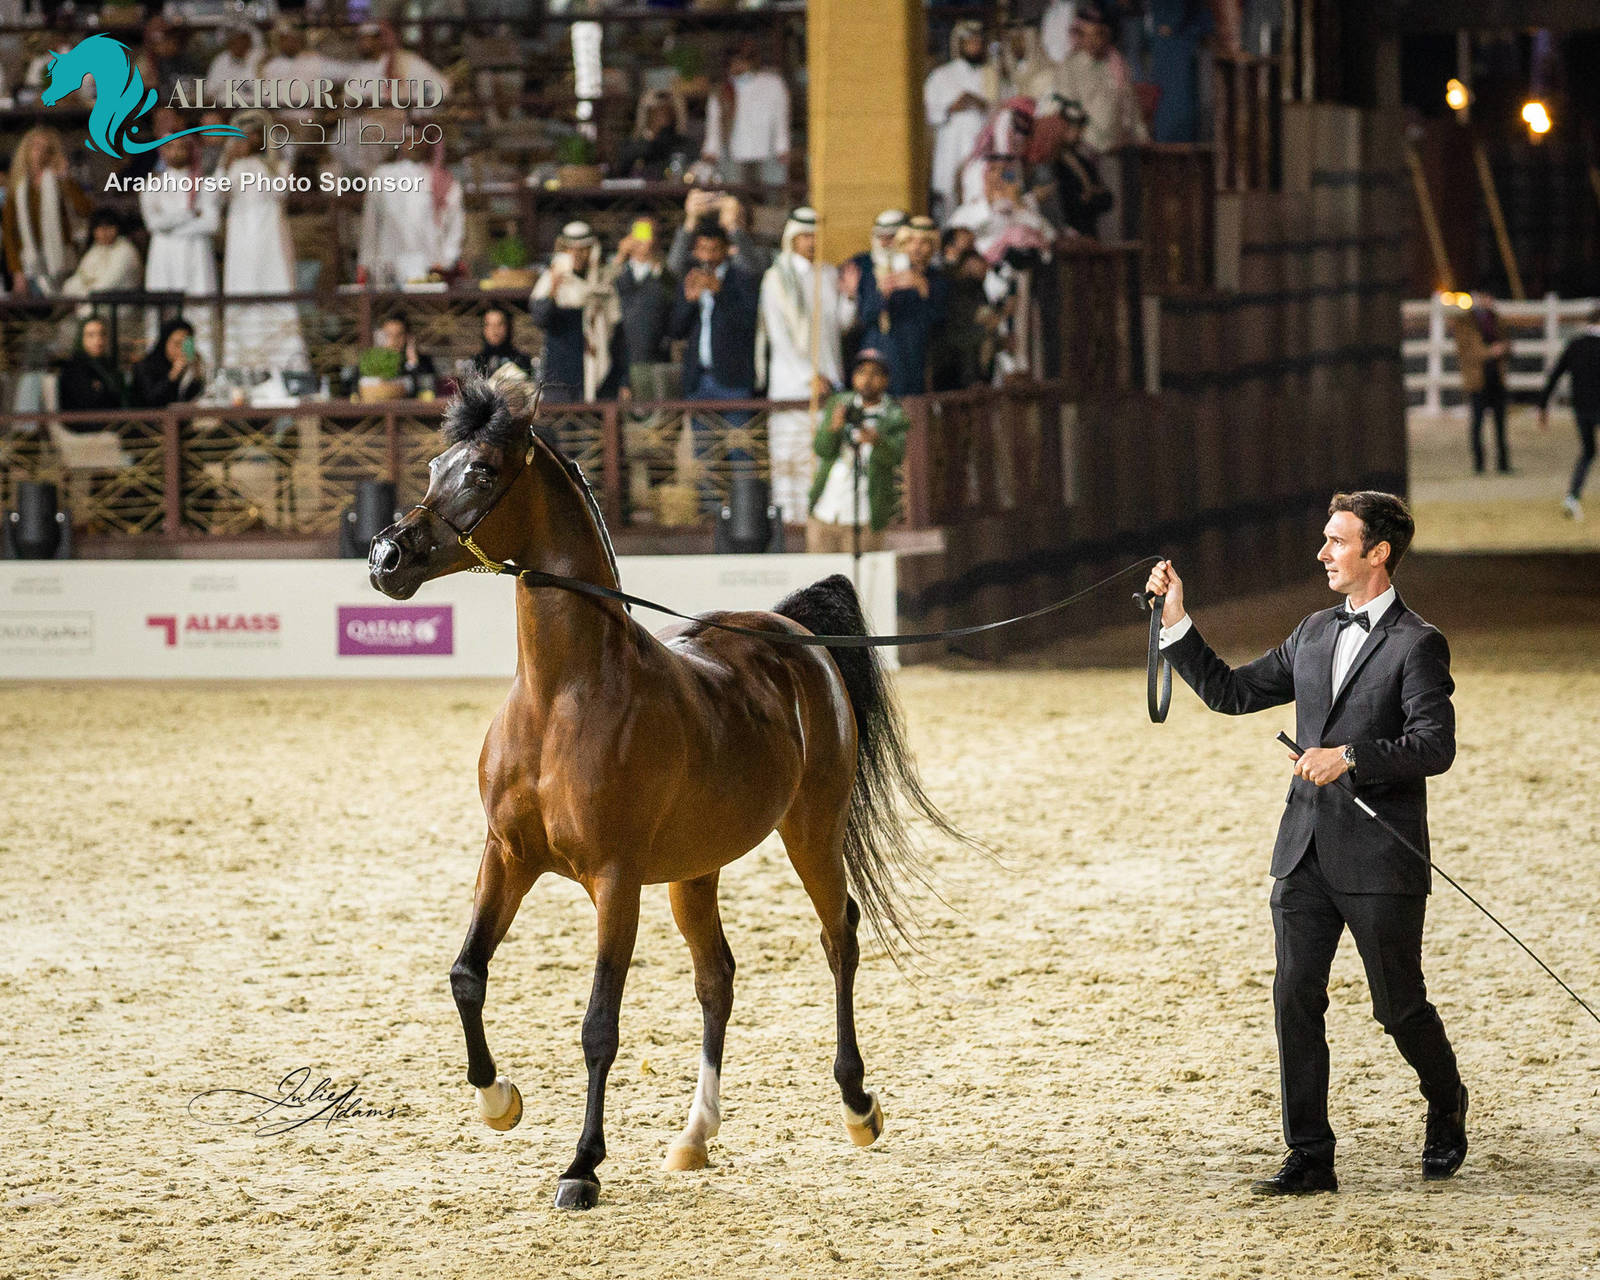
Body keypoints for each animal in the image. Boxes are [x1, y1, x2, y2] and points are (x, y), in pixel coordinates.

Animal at [368, 379, 972, 1209]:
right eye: (434, 465)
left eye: (484, 472)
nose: (386, 557)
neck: (563, 698)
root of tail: (794, 634)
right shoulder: (508, 857)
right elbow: (467, 975)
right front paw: (499, 1102)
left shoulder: (615, 881)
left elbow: (599, 1025)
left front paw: (581, 1166)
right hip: (696, 871)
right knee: (717, 977)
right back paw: (695, 1137)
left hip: (811, 832)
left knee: (838, 938)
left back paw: (857, 1106)